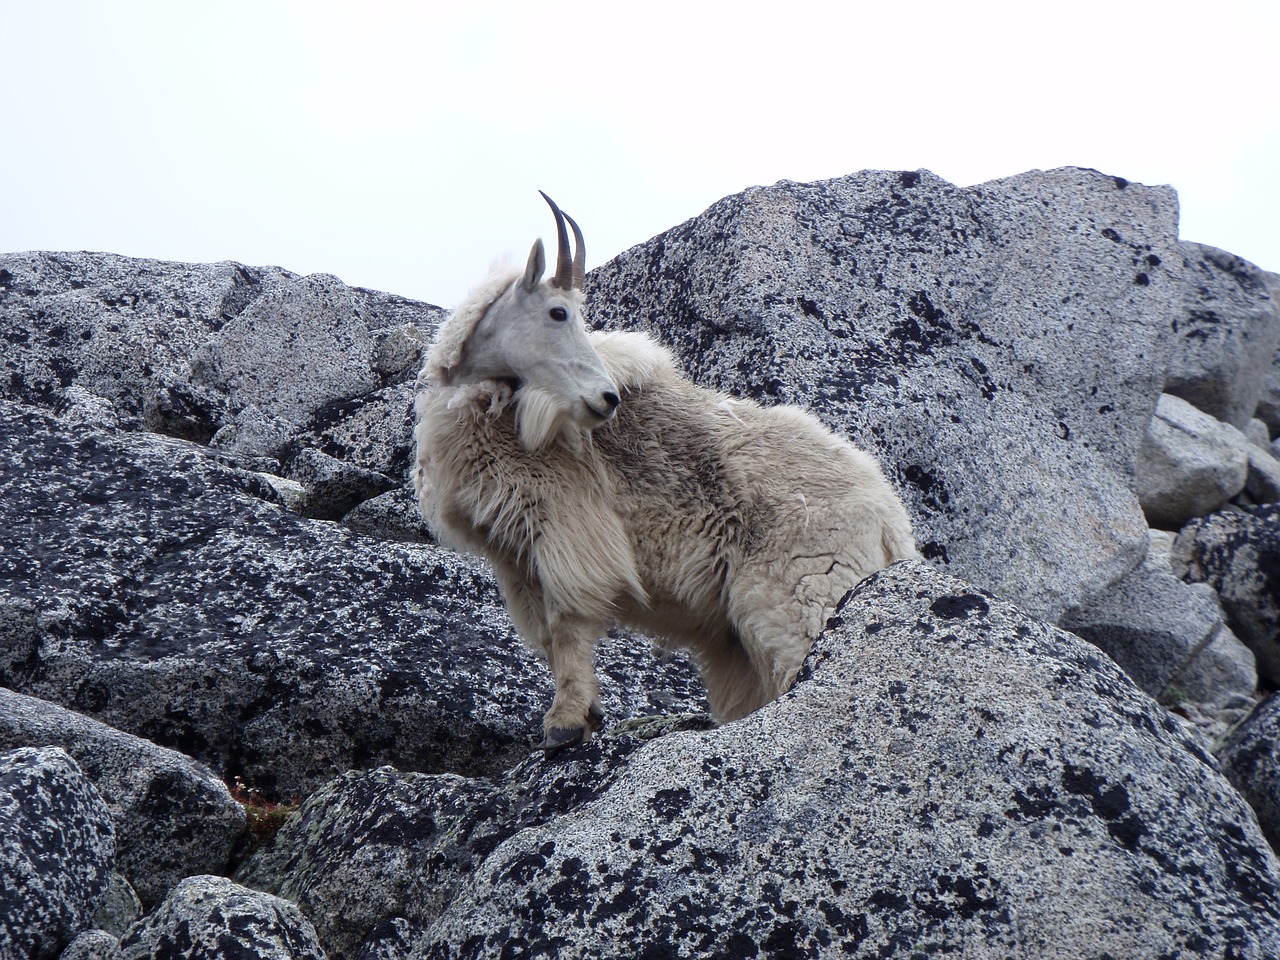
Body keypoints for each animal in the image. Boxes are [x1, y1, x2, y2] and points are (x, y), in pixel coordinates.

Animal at [414, 193, 916, 752]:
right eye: (558, 311)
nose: (606, 399)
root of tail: (890, 520)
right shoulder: (515, 553)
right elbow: (546, 638)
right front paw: (586, 713)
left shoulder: (567, 528)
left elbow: (567, 625)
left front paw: (564, 723)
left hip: (804, 593)